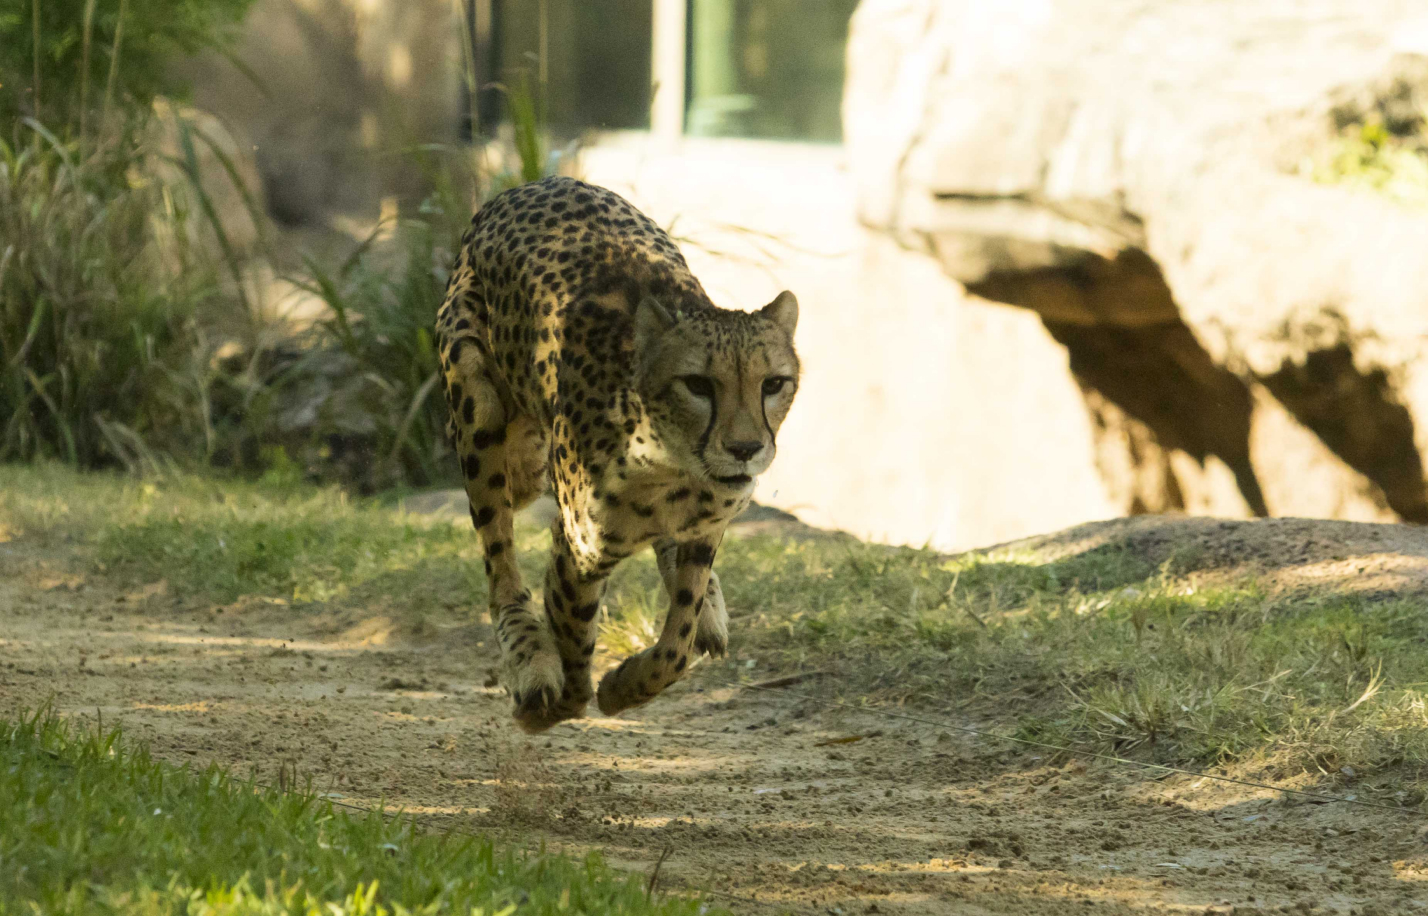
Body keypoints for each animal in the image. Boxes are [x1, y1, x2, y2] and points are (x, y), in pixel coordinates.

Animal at [434, 176, 800, 733]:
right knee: (500, 568)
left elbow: (678, 638)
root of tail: (533, 184)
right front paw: (556, 706)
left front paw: (627, 686)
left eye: (773, 384)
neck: (673, 467)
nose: (745, 448)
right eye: (697, 385)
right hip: (478, 403)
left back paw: (708, 607)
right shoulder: (577, 551)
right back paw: (527, 656)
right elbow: (574, 644)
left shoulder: (708, 526)